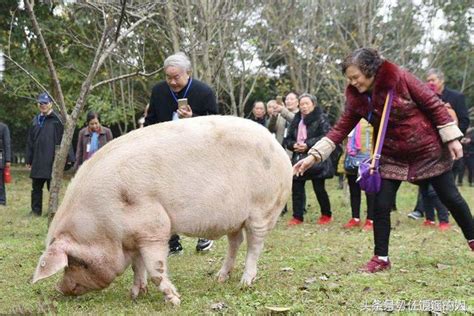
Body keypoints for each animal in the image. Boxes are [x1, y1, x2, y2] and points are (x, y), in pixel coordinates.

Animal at [32, 115, 292, 304]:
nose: (60, 288)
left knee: (255, 245)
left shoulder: (153, 225)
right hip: (234, 218)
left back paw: (245, 283)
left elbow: (155, 267)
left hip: (262, 209)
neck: (102, 223)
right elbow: (137, 266)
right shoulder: (133, 236)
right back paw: (220, 278)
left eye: (76, 262)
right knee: (235, 242)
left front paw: (174, 300)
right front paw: (136, 295)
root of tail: (278, 147)